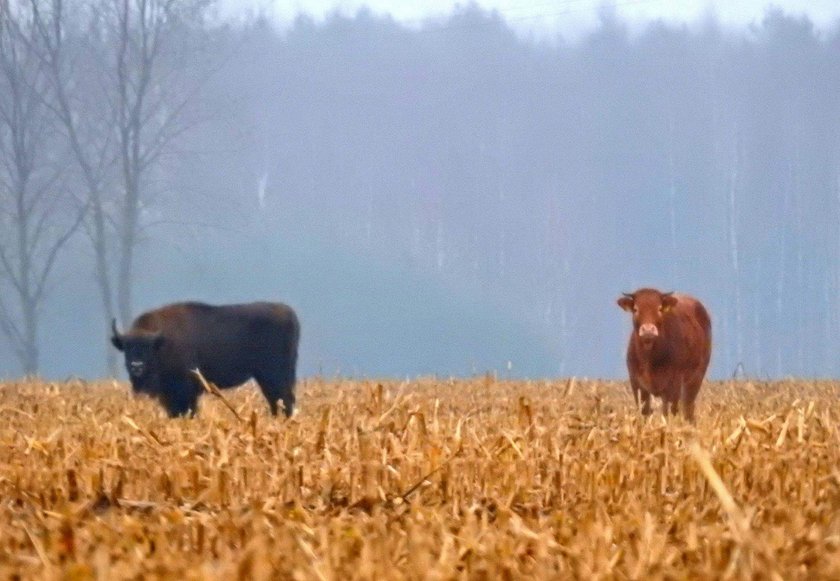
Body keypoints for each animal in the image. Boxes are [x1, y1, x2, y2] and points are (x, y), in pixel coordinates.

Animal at [108, 302, 298, 420]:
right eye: (127, 347)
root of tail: (289, 313)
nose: (137, 366)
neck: (162, 343)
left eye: (148, 347)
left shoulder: (185, 391)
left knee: (283, 400)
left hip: (273, 376)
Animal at [612, 286, 712, 420]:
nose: (648, 330)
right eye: (636, 309)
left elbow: (670, 413)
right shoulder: (637, 384)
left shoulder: (673, 385)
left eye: (659, 308)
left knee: (688, 408)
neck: (649, 359)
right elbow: (644, 412)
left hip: (695, 379)